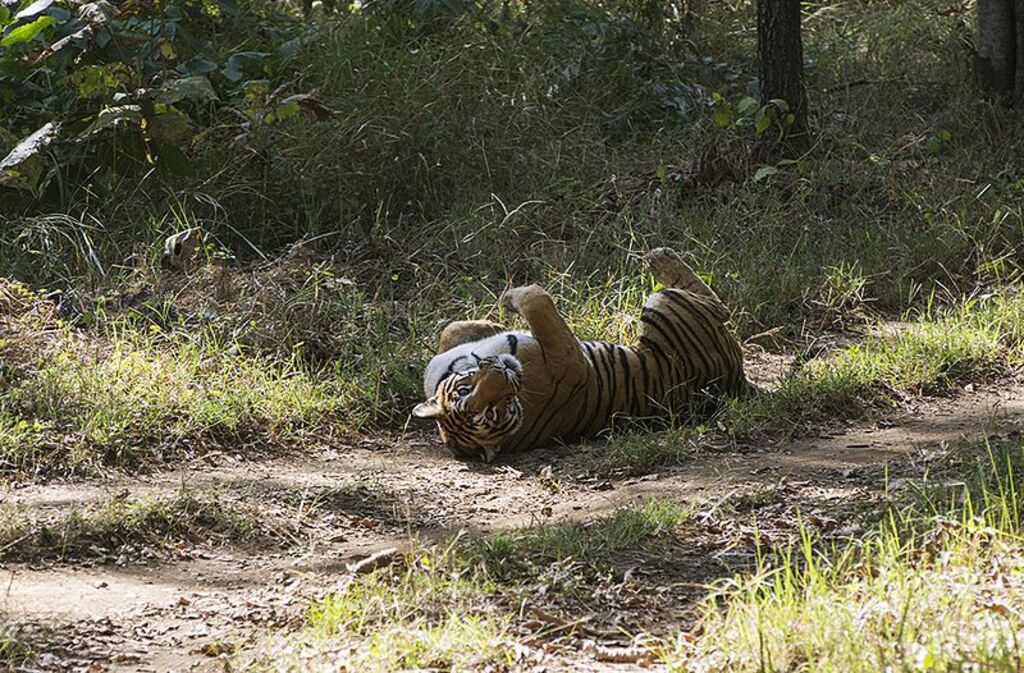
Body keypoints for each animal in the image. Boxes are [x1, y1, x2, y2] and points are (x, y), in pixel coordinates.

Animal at [414, 247, 753, 462]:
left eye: (464, 390)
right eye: (493, 411)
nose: (502, 373)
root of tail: (737, 382)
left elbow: (453, 329)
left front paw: (495, 317)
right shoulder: (571, 358)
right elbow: (537, 298)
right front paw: (510, 299)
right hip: (666, 305)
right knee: (717, 306)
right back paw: (659, 257)